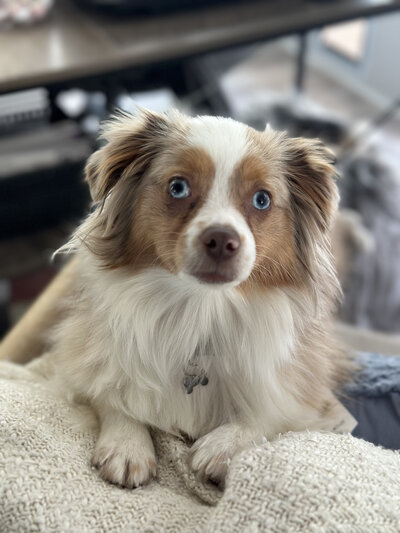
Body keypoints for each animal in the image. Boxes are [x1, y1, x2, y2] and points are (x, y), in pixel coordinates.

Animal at [50, 110, 350, 488]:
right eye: (178, 187)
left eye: (262, 199)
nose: (222, 240)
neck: (200, 309)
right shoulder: (83, 356)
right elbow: (110, 390)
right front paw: (127, 445)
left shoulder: (306, 394)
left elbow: (272, 412)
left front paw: (222, 446)